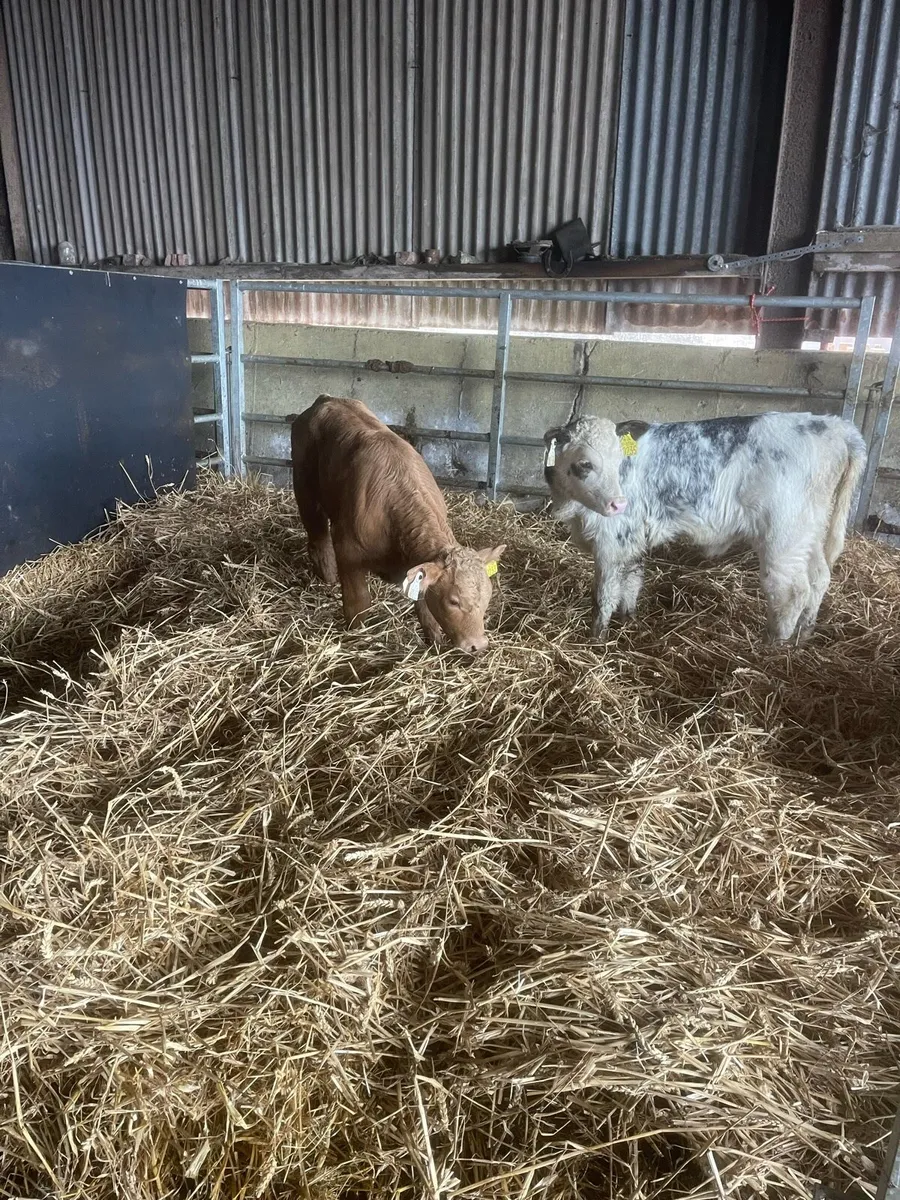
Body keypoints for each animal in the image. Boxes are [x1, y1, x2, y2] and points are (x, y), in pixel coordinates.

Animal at [289, 396, 505, 654]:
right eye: (454, 601)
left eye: (487, 597)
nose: (478, 645)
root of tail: (326, 399)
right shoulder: (348, 552)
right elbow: (358, 603)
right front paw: (356, 636)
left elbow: (425, 608)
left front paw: (434, 641)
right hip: (305, 490)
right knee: (318, 538)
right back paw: (329, 576)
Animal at [543, 411, 866, 644]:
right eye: (585, 464)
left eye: (618, 460)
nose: (618, 504)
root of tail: (835, 425)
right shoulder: (632, 540)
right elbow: (632, 582)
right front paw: (629, 620)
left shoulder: (611, 543)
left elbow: (604, 595)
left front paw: (596, 639)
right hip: (810, 531)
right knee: (819, 578)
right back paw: (804, 633)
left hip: (785, 537)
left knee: (792, 590)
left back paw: (776, 644)